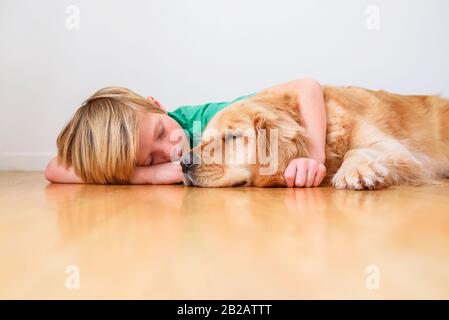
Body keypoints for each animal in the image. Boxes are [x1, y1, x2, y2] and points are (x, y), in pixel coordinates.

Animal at [180, 85, 448, 190]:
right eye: (204, 141)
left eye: (233, 137)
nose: (183, 163)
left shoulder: (400, 151)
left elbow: (357, 150)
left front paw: (355, 171)